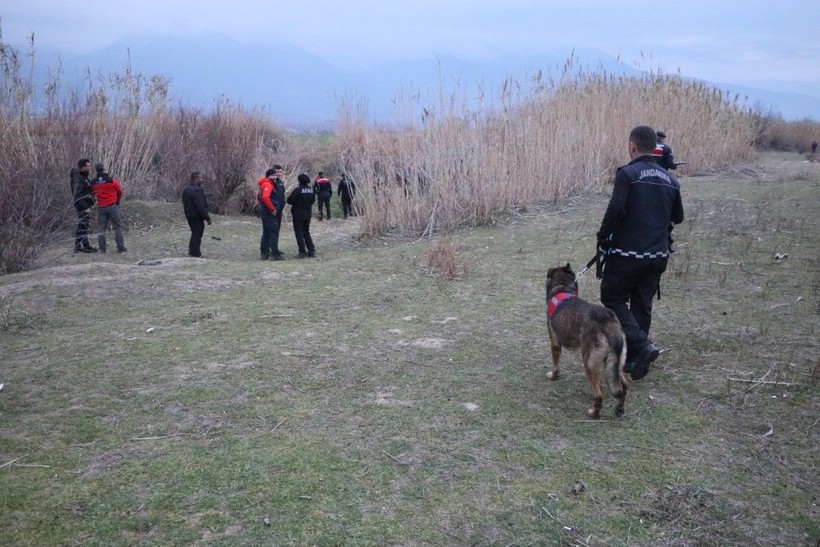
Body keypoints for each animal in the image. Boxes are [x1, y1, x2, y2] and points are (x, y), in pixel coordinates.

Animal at [544, 264, 628, 418]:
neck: (562, 288)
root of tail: (607, 320)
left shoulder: (555, 344)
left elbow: (556, 365)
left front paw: (553, 375)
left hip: (589, 363)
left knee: (599, 395)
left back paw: (593, 413)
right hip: (616, 362)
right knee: (623, 387)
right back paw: (619, 409)